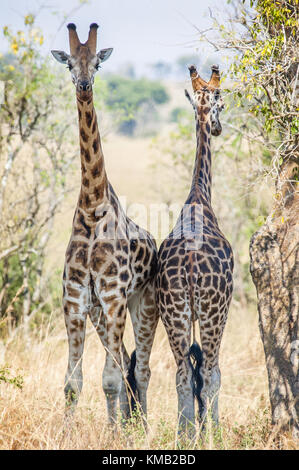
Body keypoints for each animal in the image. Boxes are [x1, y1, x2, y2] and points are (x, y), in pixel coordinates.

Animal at [51, 23, 159, 426]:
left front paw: (113, 433)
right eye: (70, 64)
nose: (84, 85)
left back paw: (142, 427)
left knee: (140, 367)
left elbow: (109, 379)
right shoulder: (76, 299)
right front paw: (67, 433)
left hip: (144, 305)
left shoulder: (114, 296)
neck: (91, 206)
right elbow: (73, 383)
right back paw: (130, 422)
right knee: (125, 360)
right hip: (102, 314)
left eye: (97, 63)